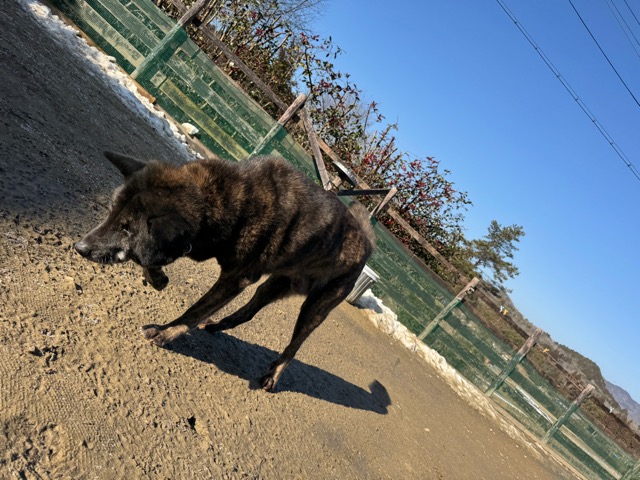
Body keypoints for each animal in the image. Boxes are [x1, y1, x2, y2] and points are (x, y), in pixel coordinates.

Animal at [75, 151, 375, 391]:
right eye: (111, 213)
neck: (231, 202)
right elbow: (151, 259)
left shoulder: (235, 279)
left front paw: (165, 332)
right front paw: (157, 277)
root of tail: (367, 241)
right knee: (247, 313)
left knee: (293, 347)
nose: (79, 247)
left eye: (126, 227)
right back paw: (218, 325)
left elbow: (193, 311)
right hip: (272, 286)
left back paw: (272, 376)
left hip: (315, 309)